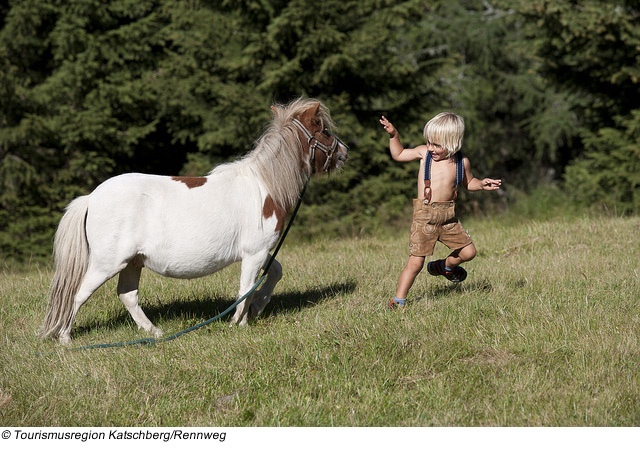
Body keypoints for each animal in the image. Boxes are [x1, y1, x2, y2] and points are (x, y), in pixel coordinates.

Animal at [40, 99, 348, 344]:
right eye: (325, 130)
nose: (345, 152)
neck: (265, 186)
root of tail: (91, 198)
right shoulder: (255, 253)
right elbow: (246, 288)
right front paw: (239, 322)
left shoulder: (260, 252)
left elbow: (275, 272)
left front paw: (257, 307)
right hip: (107, 263)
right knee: (78, 294)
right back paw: (66, 338)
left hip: (132, 262)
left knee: (127, 295)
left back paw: (154, 332)